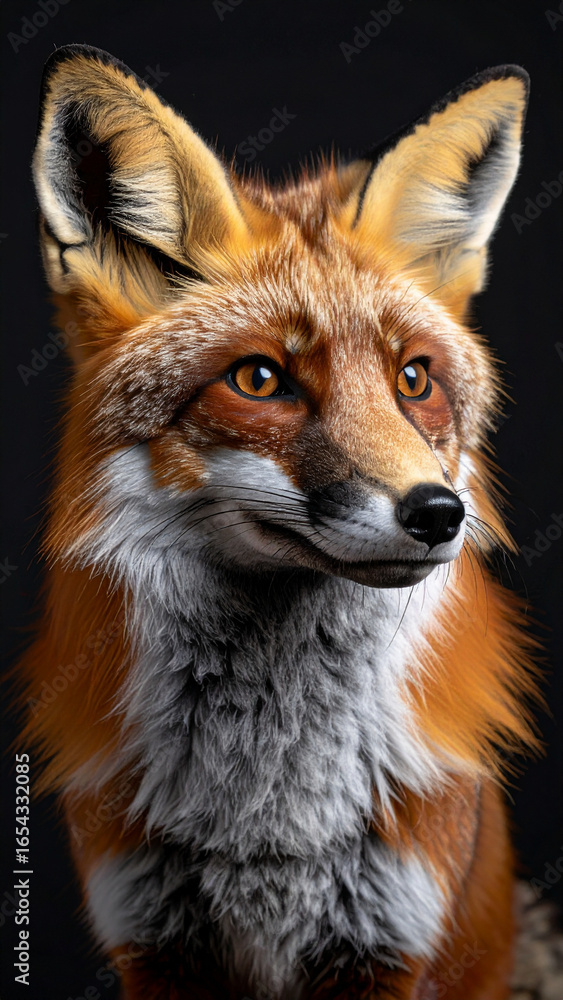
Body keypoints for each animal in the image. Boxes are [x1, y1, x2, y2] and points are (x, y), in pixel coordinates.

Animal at [20, 43, 539, 999]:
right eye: (259, 380)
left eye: (414, 379)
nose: (437, 513)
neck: (271, 824)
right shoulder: (153, 938)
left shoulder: (388, 938)